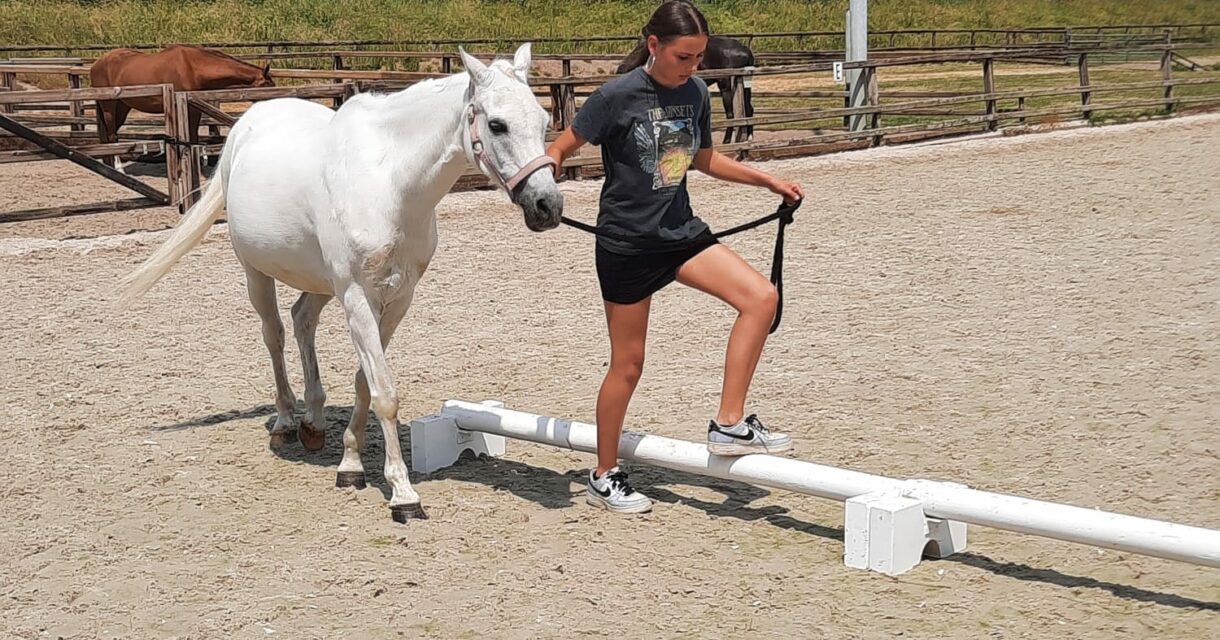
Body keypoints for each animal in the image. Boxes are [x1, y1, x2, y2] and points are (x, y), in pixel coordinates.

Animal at [89, 45, 273, 167]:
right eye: (267, 86)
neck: (192, 68)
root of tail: (97, 64)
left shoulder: (193, 108)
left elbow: (192, 137)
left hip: (122, 107)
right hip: (109, 106)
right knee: (112, 135)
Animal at [116, 46, 563, 524]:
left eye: (542, 120)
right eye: (497, 124)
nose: (547, 205)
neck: (389, 183)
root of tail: (246, 124)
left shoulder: (398, 298)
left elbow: (366, 382)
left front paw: (350, 464)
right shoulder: (357, 296)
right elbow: (385, 392)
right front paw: (403, 494)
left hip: (321, 283)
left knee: (302, 321)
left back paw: (313, 423)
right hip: (257, 272)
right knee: (275, 335)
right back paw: (286, 423)